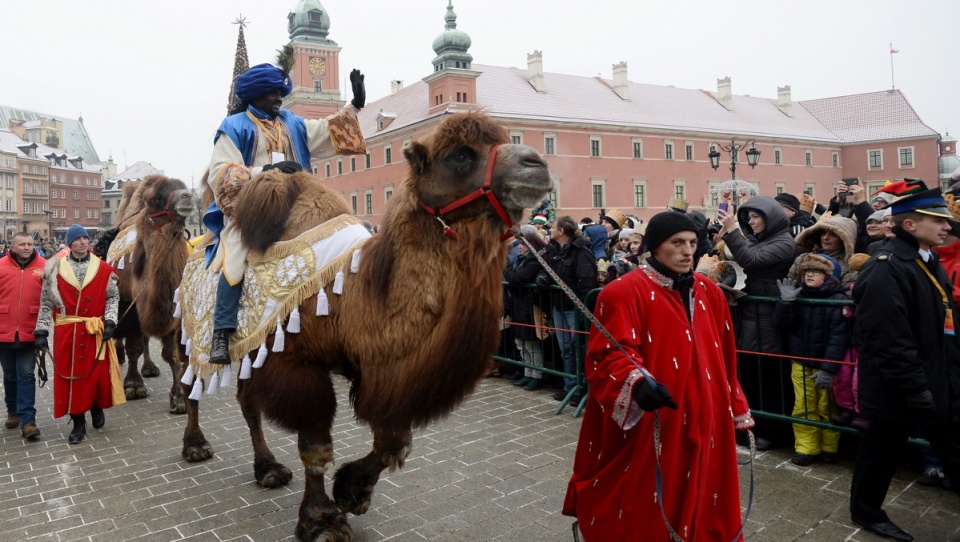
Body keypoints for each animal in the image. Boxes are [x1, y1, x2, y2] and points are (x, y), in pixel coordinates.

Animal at [108, 176, 196, 414]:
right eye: (158, 198)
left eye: (182, 188)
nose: (188, 196)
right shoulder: (129, 305)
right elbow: (133, 348)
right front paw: (133, 386)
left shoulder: (173, 312)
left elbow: (173, 354)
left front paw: (179, 398)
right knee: (123, 336)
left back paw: (149, 368)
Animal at [178, 112, 556, 540]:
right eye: (459, 156)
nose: (536, 165)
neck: (359, 292)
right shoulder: (295, 361)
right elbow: (315, 447)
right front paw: (321, 520)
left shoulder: (380, 369)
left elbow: (395, 442)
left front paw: (352, 489)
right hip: (192, 334)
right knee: (190, 386)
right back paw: (196, 446)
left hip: (251, 352)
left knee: (247, 404)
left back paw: (268, 469)